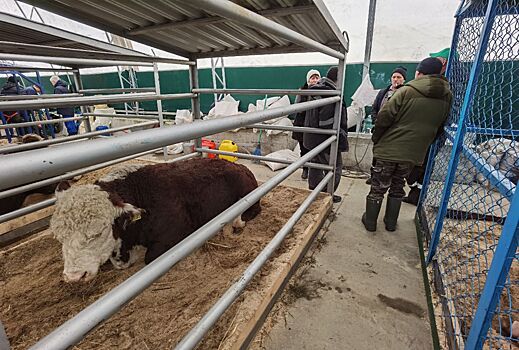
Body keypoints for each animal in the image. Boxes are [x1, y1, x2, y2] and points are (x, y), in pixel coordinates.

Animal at [51, 157, 262, 284]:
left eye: (99, 231)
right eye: (59, 236)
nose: (74, 276)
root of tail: (238, 165)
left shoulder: (176, 234)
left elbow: (149, 258)